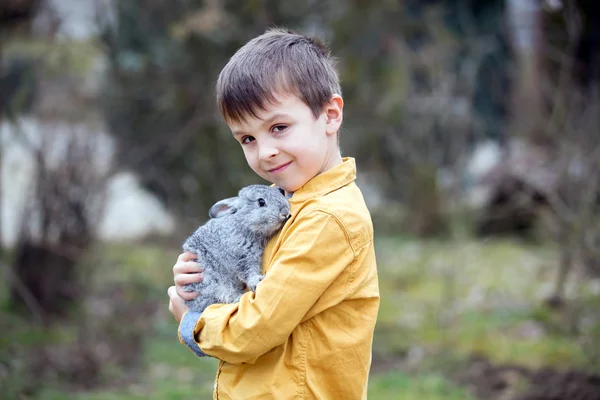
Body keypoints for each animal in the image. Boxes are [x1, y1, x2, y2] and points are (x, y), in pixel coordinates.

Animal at [183, 184, 290, 312]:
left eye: (280, 193)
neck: (243, 224)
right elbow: (248, 272)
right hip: (209, 280)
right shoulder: (242, 256)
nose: (285, 212)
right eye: (261, 202)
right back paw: (237, 298)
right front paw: (257, 281)